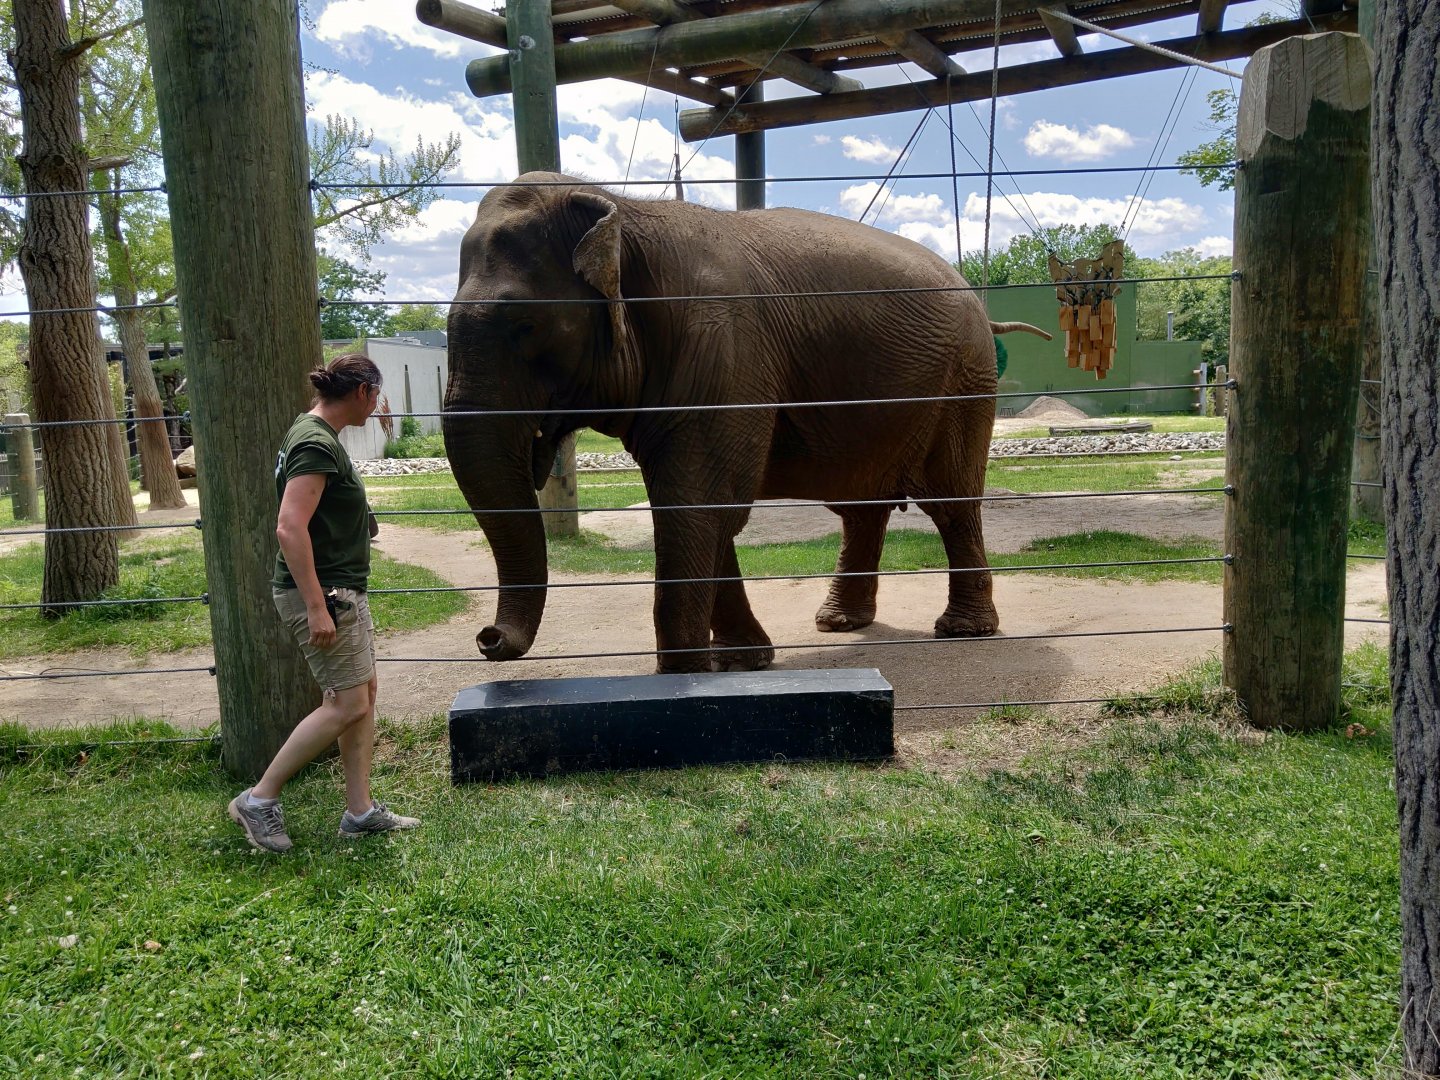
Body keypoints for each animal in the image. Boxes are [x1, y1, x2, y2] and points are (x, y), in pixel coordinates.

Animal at [442, 172, 1050, 674]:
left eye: (524, 326)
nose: (487, 638)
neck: (623, 210)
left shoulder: (725, 349)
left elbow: (699, 502)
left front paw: (684, 676)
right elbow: (708, 506)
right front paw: (741, 663)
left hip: (965, 383)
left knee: (951, 503)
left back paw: (962, 631)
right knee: (862, 508)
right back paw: (838, 623)